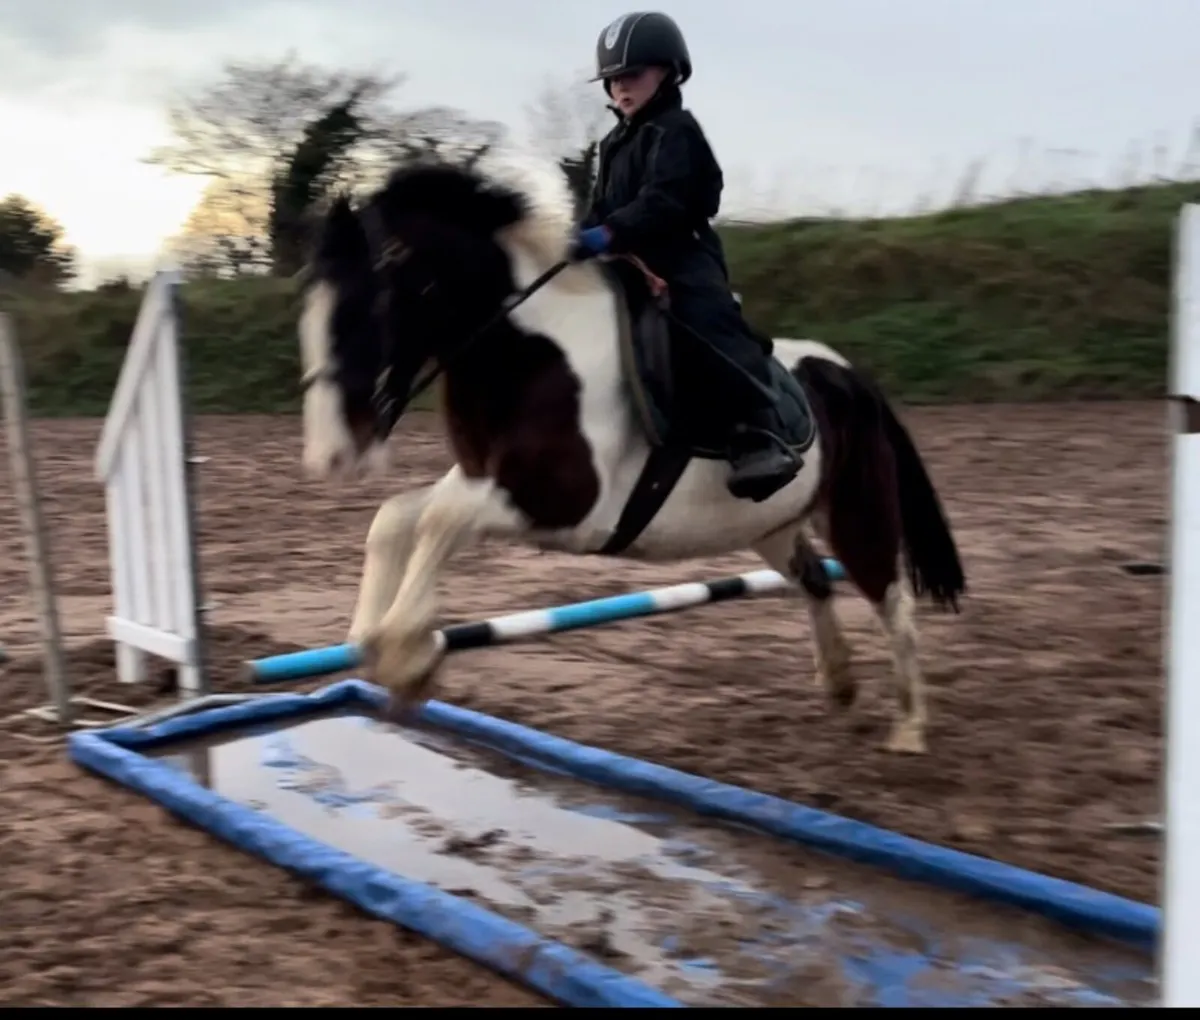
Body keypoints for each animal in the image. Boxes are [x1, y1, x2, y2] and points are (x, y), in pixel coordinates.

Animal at [296, 145, 965, 755]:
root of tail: (849, 374)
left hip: (858, 515)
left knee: (893, 604)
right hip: (771, 523)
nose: (332, 457)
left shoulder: (563, 502)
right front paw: (380, 643)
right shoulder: (481, 477)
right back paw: (839, 684)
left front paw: (408, 661)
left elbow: (438, 521)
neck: (533, 355)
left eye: (361, 315)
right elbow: (395, 519)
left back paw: (909, 727)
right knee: (815, 582)